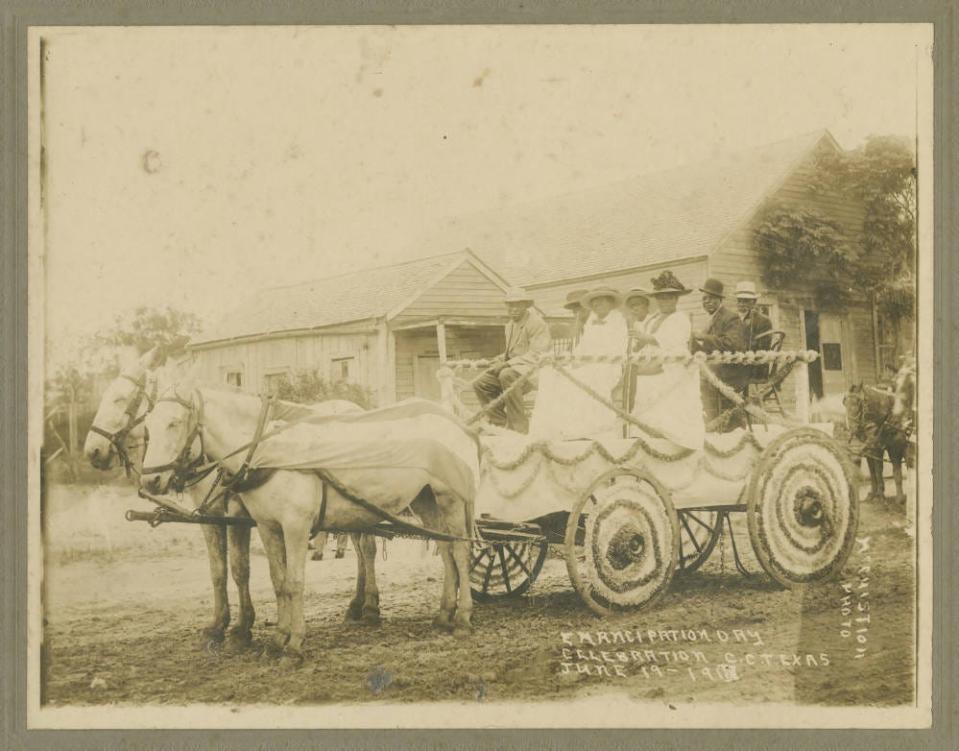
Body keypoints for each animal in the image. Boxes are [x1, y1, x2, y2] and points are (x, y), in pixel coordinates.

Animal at [139, 382, 476, 664]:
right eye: (147, 427)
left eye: (174, 423)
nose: (149, 481)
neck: (268, 453)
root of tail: (455, 422)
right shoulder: (266, 526)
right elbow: (273, 580)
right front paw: (275, 639)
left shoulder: (294, 527)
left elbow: (291, 582)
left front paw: (291, 644)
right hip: (426, 500)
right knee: (445, 551)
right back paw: (443, 615)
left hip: (450, 498)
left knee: (460, 552)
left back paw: (461, 618)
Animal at [844, 360, 920, 506]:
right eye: (844, 402)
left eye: (859, 403)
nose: (853, 430)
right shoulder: (873, 449)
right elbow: (875, 471)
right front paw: (875, 493)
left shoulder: (895, 449)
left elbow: (895, 473)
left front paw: (898, 498)